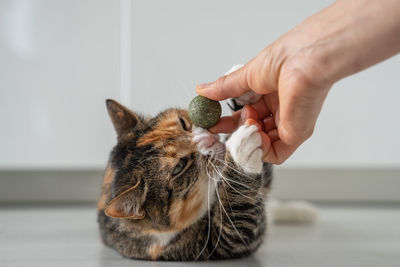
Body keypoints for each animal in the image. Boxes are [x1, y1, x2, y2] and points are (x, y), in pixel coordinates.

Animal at [97, 94, 274, 262]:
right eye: (179, 167)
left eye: (182, 123)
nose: (210, 139)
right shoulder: (217, 243)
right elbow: (240, 215)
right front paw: (242, 150)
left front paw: (244, 97)